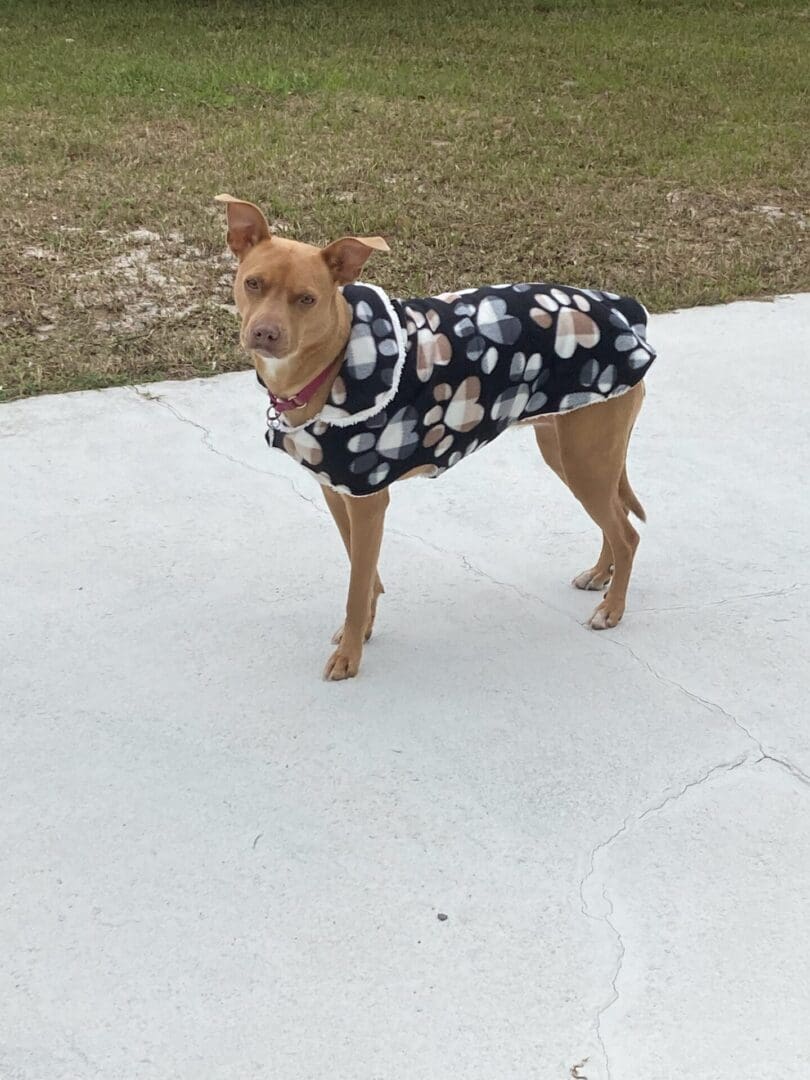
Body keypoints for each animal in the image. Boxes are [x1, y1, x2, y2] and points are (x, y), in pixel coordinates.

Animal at [217, 194, 660, 678]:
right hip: (568, 451)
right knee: (615, 517)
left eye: (307, 299)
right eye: (253, 283)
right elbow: (362, 571)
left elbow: (356, 584)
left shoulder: (368, 501)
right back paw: (601, 574)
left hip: (586, 459)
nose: (265, 333)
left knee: (627, 533)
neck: (332, 363)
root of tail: (626, 311)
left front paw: (349, 656)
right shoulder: (337, 492)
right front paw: (364, 629)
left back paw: (612, 609)